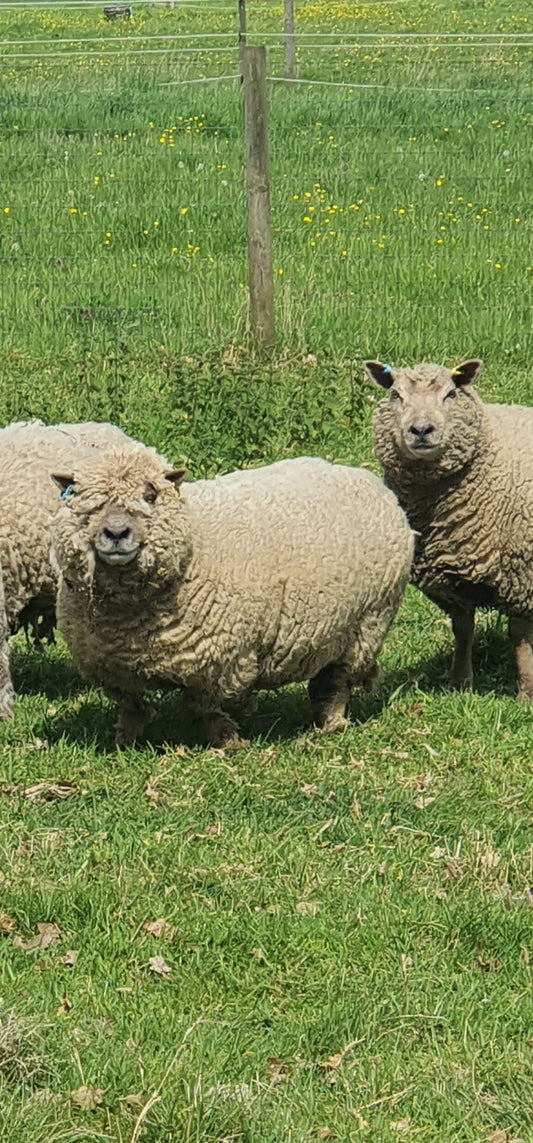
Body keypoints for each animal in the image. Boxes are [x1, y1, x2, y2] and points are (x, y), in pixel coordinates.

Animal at [51, 446, 414, 747]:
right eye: (85, 500)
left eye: (150, 495)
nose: (116, 533)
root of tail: (368, 478)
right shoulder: (109, 667)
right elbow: (132, 706)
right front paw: (124, 741)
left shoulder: (220, 661)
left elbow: (208, 708)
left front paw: (228, 743)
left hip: (367, 624)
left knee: (338, 681)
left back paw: (331, 724)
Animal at [366, 357, 533, 698]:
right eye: (396, 395)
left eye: (451, 394)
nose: (421, 430)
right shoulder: (448, 575)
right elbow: (463, 629)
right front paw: (460, 681)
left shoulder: (519, 572)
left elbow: (519, 635)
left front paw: (526, 691)